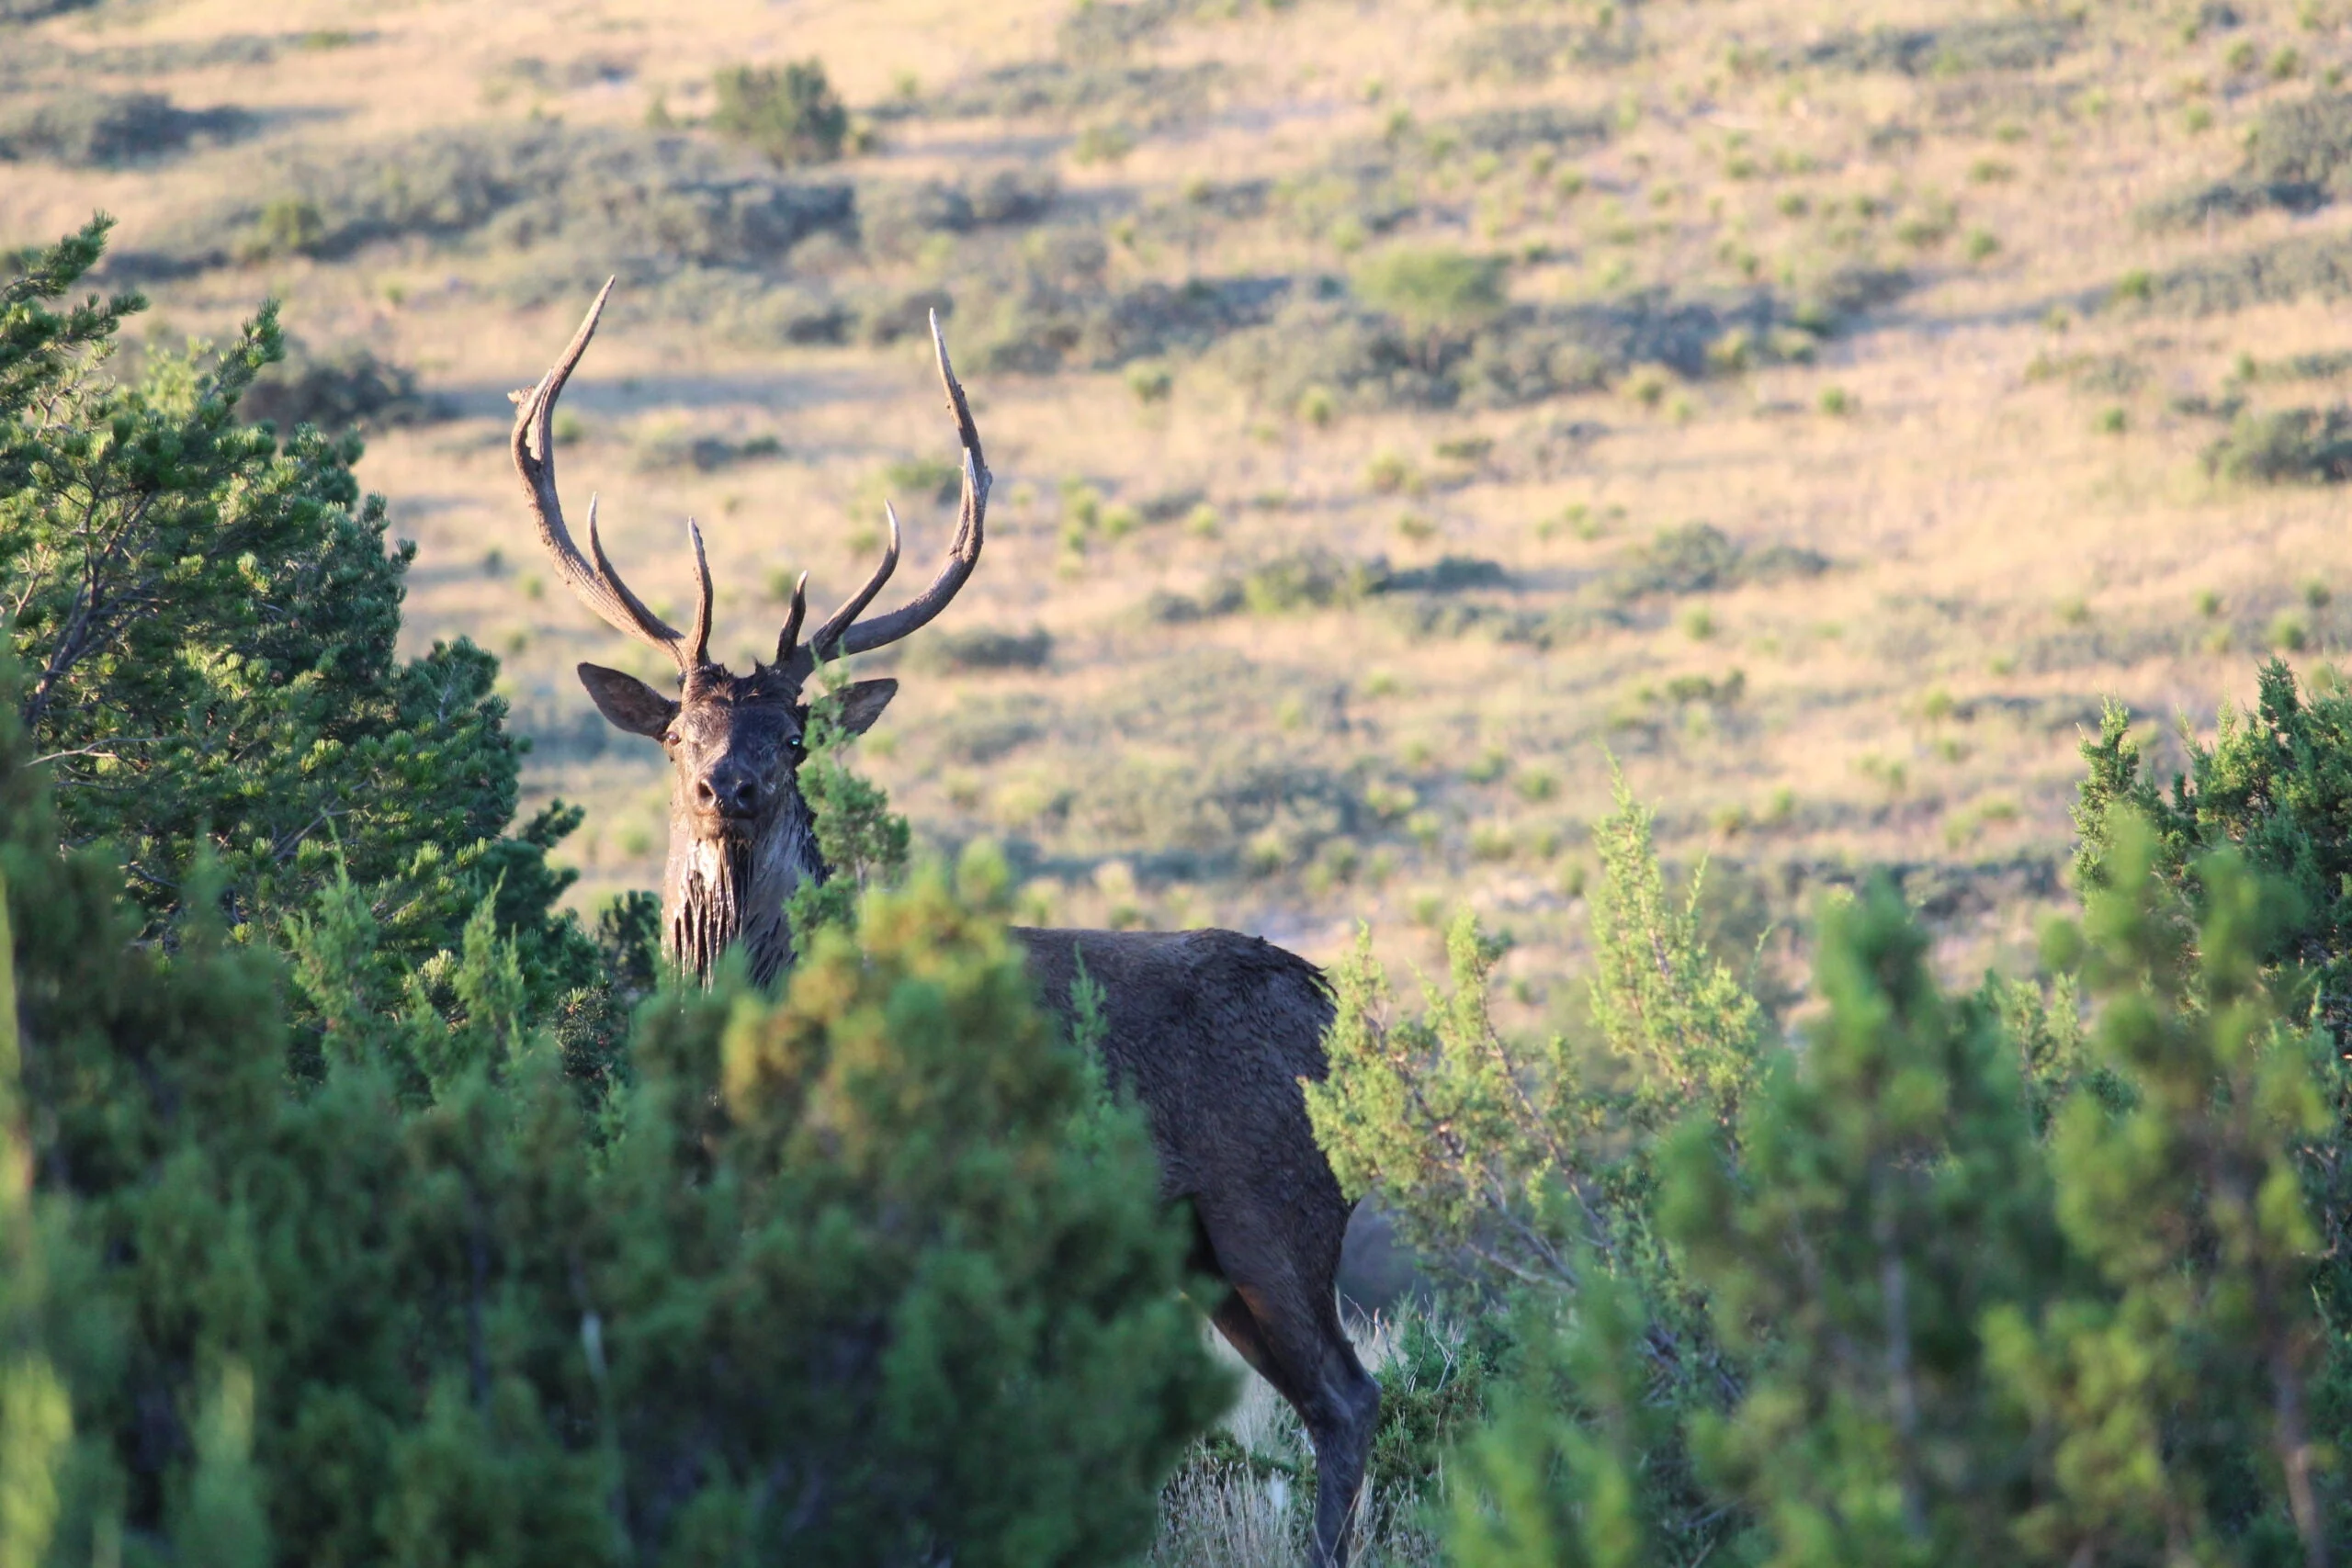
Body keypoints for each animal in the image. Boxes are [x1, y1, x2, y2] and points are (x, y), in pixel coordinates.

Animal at [501, 285, 1374, 1568]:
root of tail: (1336, 1010)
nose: (726, 787)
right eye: (674, 734)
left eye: (796, 734)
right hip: (1206, 1253)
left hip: (1277, 1206)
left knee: (1347, 1399)